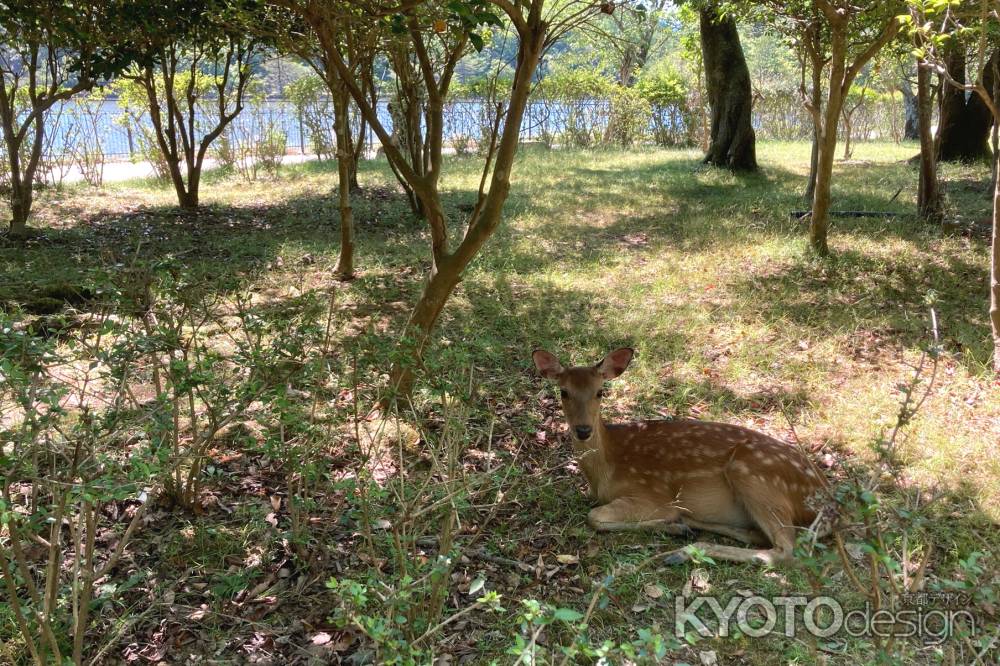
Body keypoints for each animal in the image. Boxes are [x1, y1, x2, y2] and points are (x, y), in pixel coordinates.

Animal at [532, 344, 828, 564]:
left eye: (600, 392)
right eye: (564, 392)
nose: (583, 430)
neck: (605, 471)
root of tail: (825, 496)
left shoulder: (649, 494)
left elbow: (593, 517)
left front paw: (671, 525)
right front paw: (677, 525)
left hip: (755, 475)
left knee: (785, 550)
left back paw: (681, 550)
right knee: (760, 536)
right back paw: (691, 525)